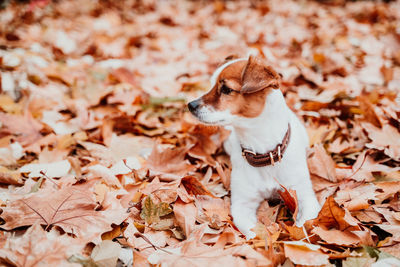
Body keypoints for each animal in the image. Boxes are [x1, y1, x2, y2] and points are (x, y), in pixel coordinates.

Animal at [188, 55, 322, 240]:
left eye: (226, 89)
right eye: (211, 85)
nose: (191, 105)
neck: (264, 153)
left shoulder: (305, 197)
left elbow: (303, 227)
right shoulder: (242, 205)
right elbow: (254, 233)